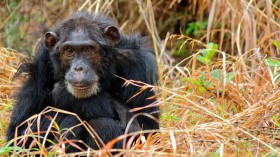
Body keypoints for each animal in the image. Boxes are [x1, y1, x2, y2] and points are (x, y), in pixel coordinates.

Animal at [6, 11, 159, 151]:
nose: (78, 68)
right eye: (69, 50)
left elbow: (147, 133)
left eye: (87, 50)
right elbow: (21, 132)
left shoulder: (137, 66)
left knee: (101, 123)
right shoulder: (42, 64)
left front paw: (63, 93)